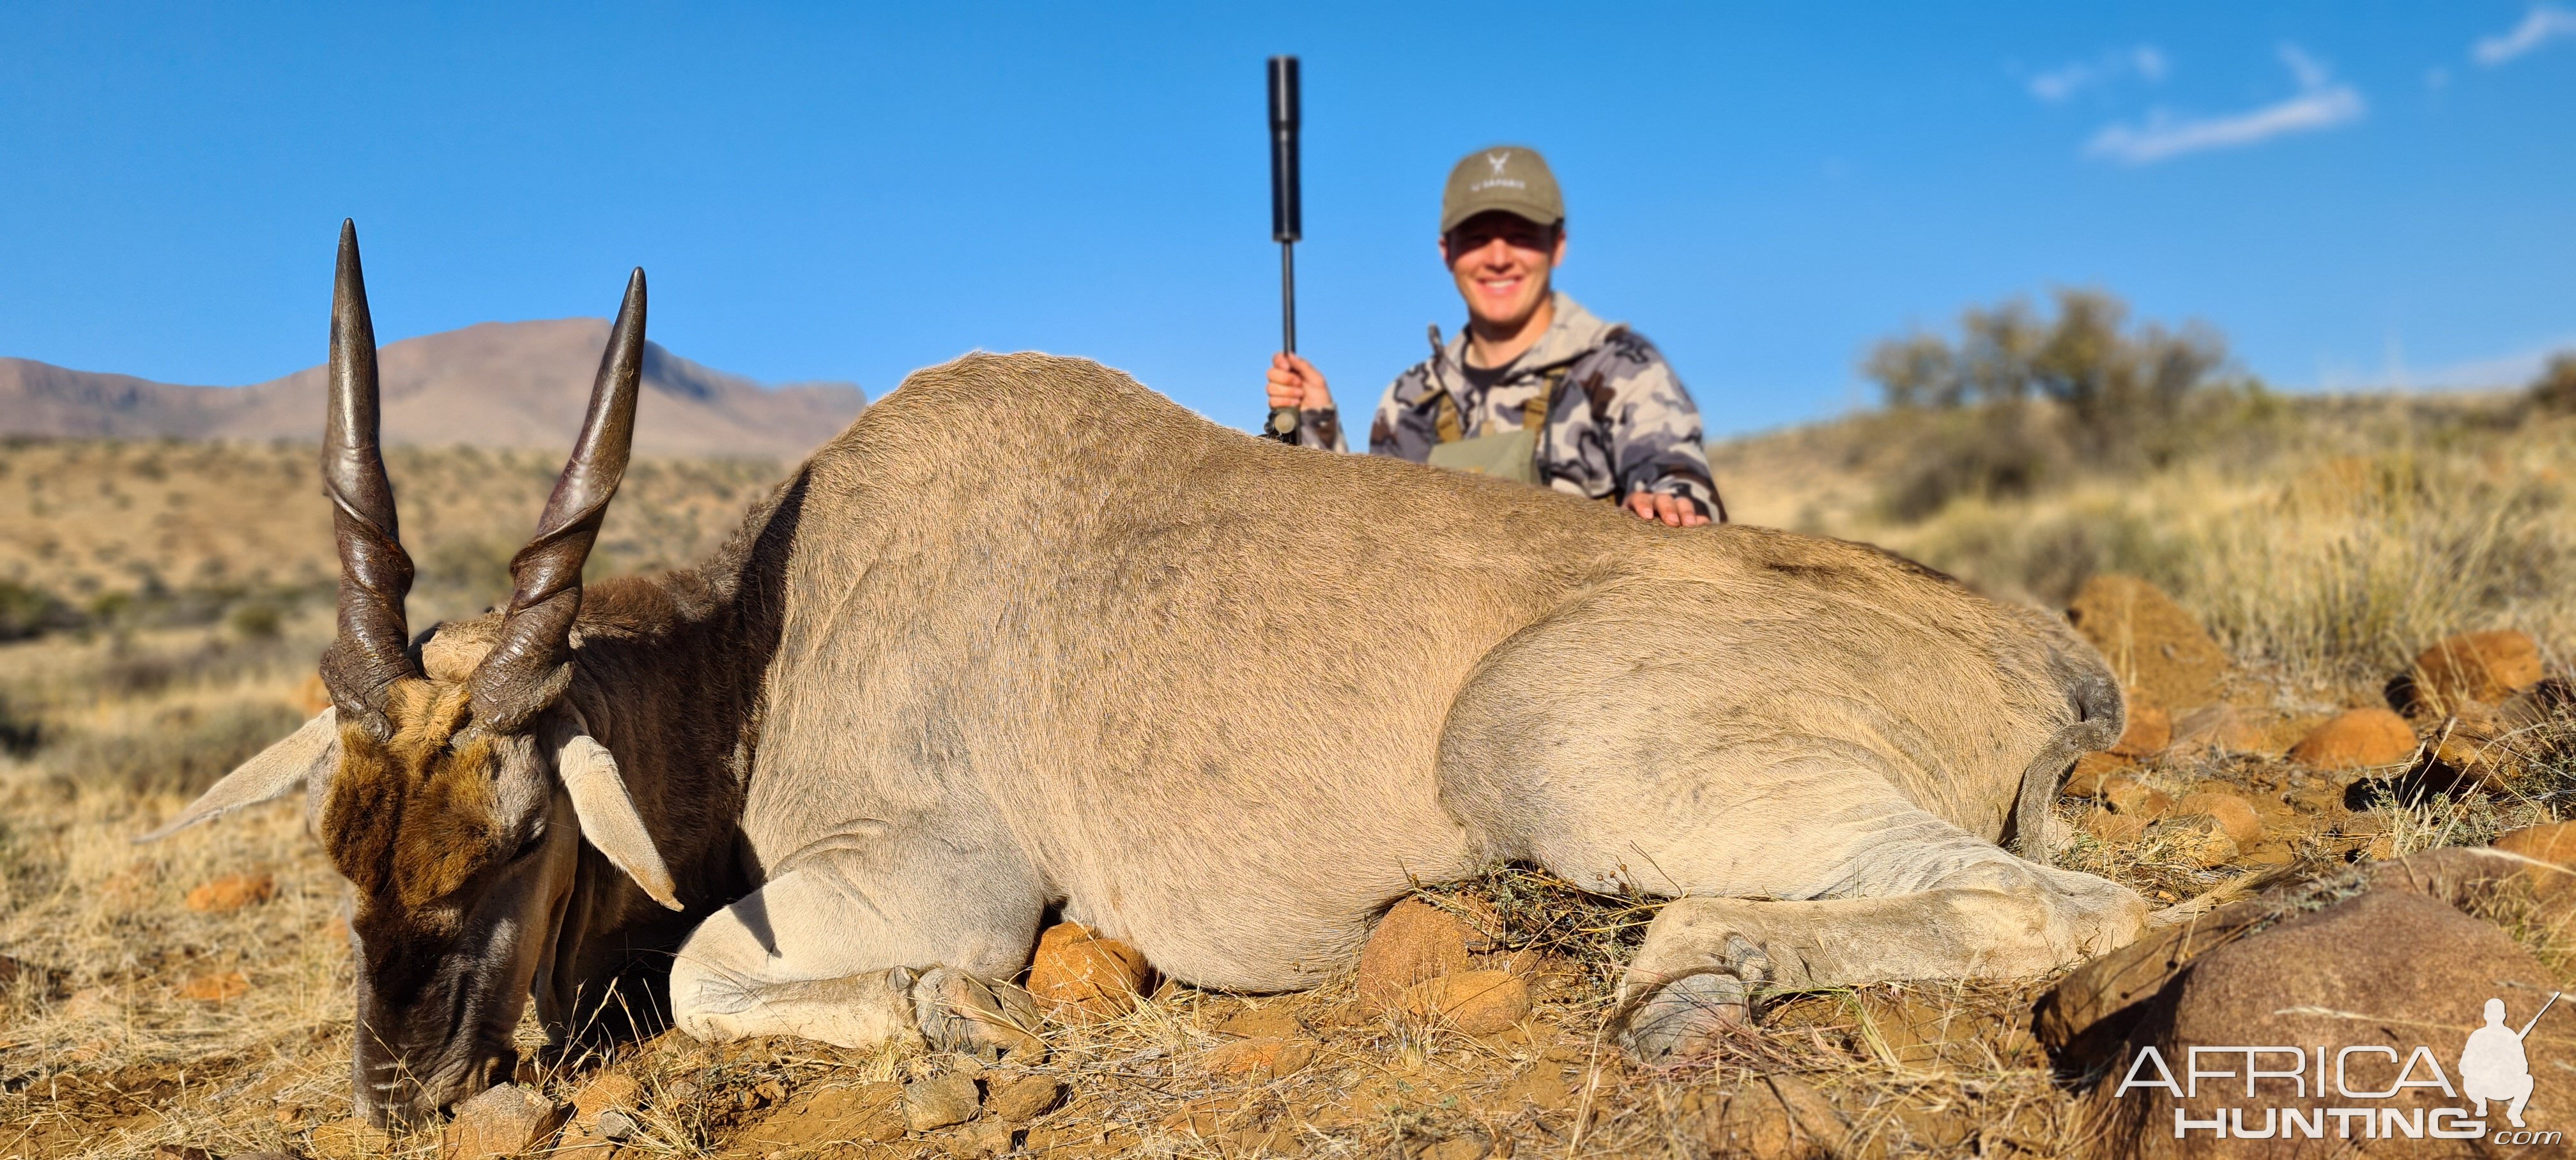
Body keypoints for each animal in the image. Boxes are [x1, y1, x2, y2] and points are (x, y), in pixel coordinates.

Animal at [146, 224, 2153, 1124]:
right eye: (340, 852)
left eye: (509, 842)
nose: (396, 1094)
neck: (762, 639)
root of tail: (2043, 649)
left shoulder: (952, 876)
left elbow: (721, 970)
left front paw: (959, 1021)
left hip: (1547, 758)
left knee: (2073, 901)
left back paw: (1690, 973)